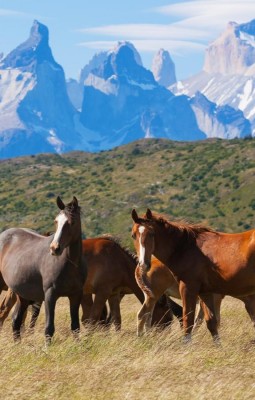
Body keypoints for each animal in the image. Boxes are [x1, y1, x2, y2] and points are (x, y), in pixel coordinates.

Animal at [0, 197, 86, 344]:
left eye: (72, 222)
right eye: (56, 221)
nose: (55, 248)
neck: (70, 264)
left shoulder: (76, 295)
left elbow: (75, 327)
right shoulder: (50, 295)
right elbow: (49, 328)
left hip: (22, 295)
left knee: (16, 320)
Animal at [131, 208, 255, 342]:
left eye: (152, 234)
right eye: (133, 235)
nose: (144, 264)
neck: (186, 248)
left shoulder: (189, 288)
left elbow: (189, 321)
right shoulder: (205, 292)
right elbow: (210, 322)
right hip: (153, 296)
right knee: (144, 315)